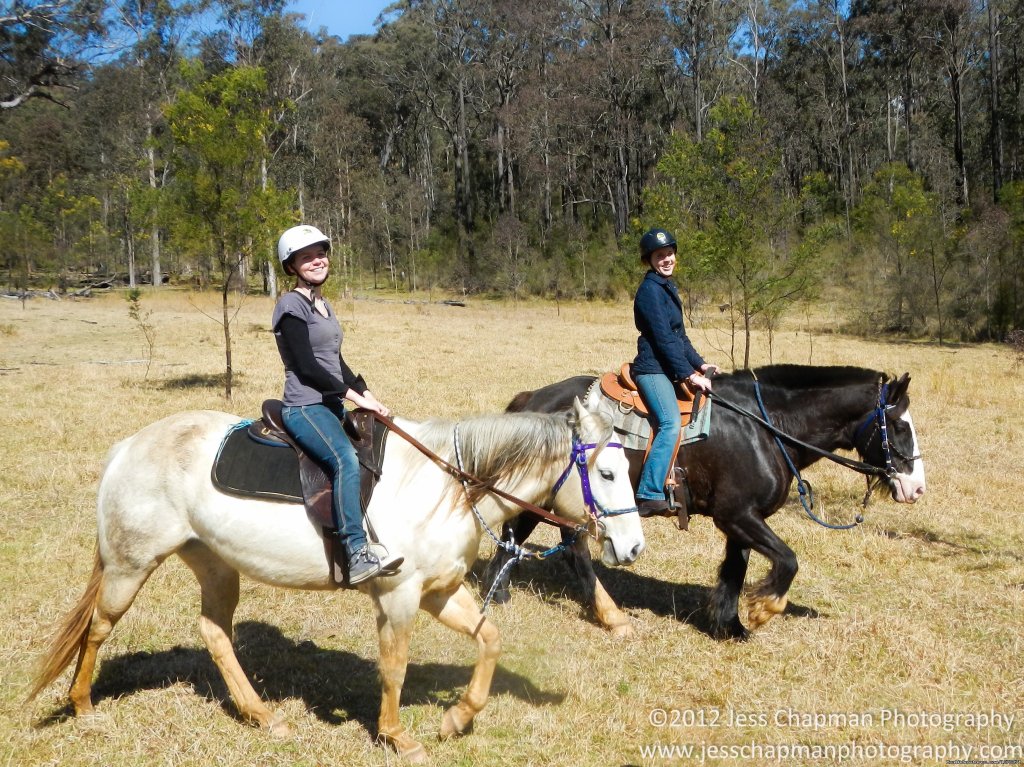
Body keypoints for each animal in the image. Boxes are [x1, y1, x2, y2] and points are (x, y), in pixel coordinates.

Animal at [29, 401, 638, 761]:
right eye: (607, 473)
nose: (632, 548)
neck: (446, 484)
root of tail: (128, 447)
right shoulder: (399, 595)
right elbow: (394, 667)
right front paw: (397, 736)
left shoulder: (440, 591)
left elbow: (489, 639)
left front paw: (456, 718)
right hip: (130, 565)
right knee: (99, 628)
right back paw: (84, 708)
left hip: (215, 564)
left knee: (215, 632)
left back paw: (262, 716)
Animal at [483, 364, 925, 638]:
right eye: (899, 425)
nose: (916, 487)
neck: (764, 428)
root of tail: (533, 399)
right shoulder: (737, 516)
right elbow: (788, 560)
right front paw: (762, 611)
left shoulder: (741, 521)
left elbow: (735, 570)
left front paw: (730, 625)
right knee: (567, 547)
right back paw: (611, 617)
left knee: (523, 531)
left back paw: (499, 590)